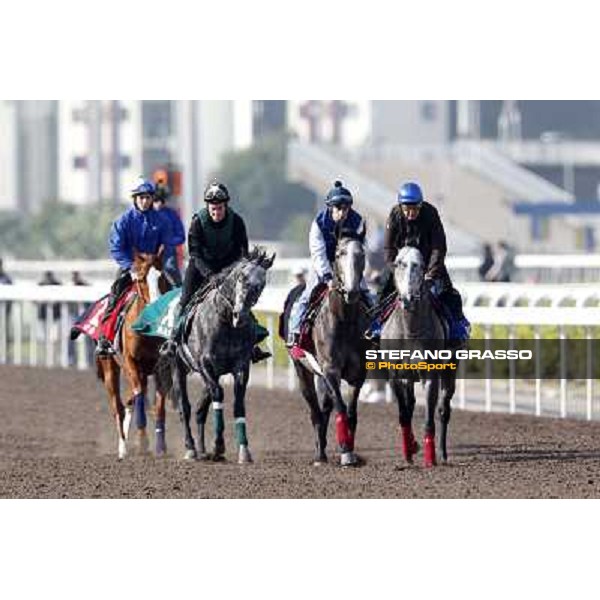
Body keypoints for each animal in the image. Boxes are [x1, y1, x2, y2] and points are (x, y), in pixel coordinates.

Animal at [96, 250, 171, 460]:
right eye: (142, 278)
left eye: (162, 277)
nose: (157, 306)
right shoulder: (130, 362)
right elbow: (138, 398)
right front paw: (142, 442)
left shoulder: (161, 365)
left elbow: (159, 406)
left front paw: (160, 446)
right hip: (110, 368)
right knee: (118, 406)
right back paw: (123, 448)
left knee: (133, 400)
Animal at [164, 248, 276, 464]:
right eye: (241, 277)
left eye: (261, 284)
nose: (240, 316)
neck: (225, 321)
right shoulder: (205, 364)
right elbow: (218, 395)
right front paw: (218, 445)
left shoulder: (241, 366)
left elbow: (238, 403)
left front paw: (244, 450)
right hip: (178, 366)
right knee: (185, 407)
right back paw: (191, 448)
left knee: (200, 410)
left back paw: (202, 449)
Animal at [382, 246, 458, 466]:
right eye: (399, 263)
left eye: (421, 265)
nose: (408, 298)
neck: (410, 331)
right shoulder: (395, 375)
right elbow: (404, 414)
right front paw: (408, 452)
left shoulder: (430, 374)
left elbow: (429, 418)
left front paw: (430, 459)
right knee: (411, 404)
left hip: (451, 367)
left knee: (443, 410)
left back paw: (442, 454)